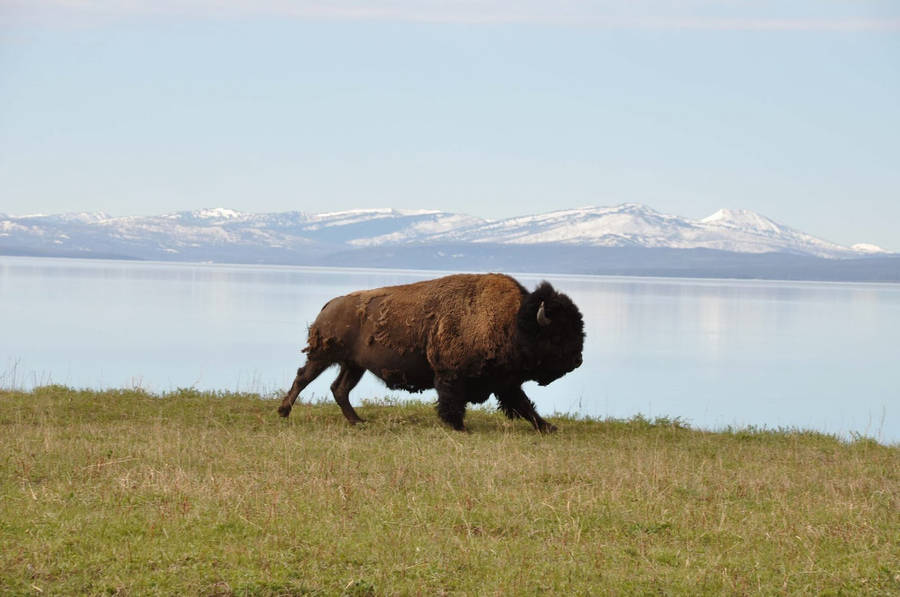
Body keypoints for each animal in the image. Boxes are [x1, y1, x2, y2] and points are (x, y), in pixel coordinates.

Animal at [278, 273, 584, 432]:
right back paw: (283, 411)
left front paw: (548, 427)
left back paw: (357, 421)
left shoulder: (506, 382)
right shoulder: (451, 376)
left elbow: (524, 405)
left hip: (354, 365)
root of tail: (330, 305)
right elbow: (452, 402)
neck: (514, 321)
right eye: (557, 334)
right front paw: (459, 427)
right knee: (303, 378)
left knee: (339, 388)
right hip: (323, 356)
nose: (578, 360)